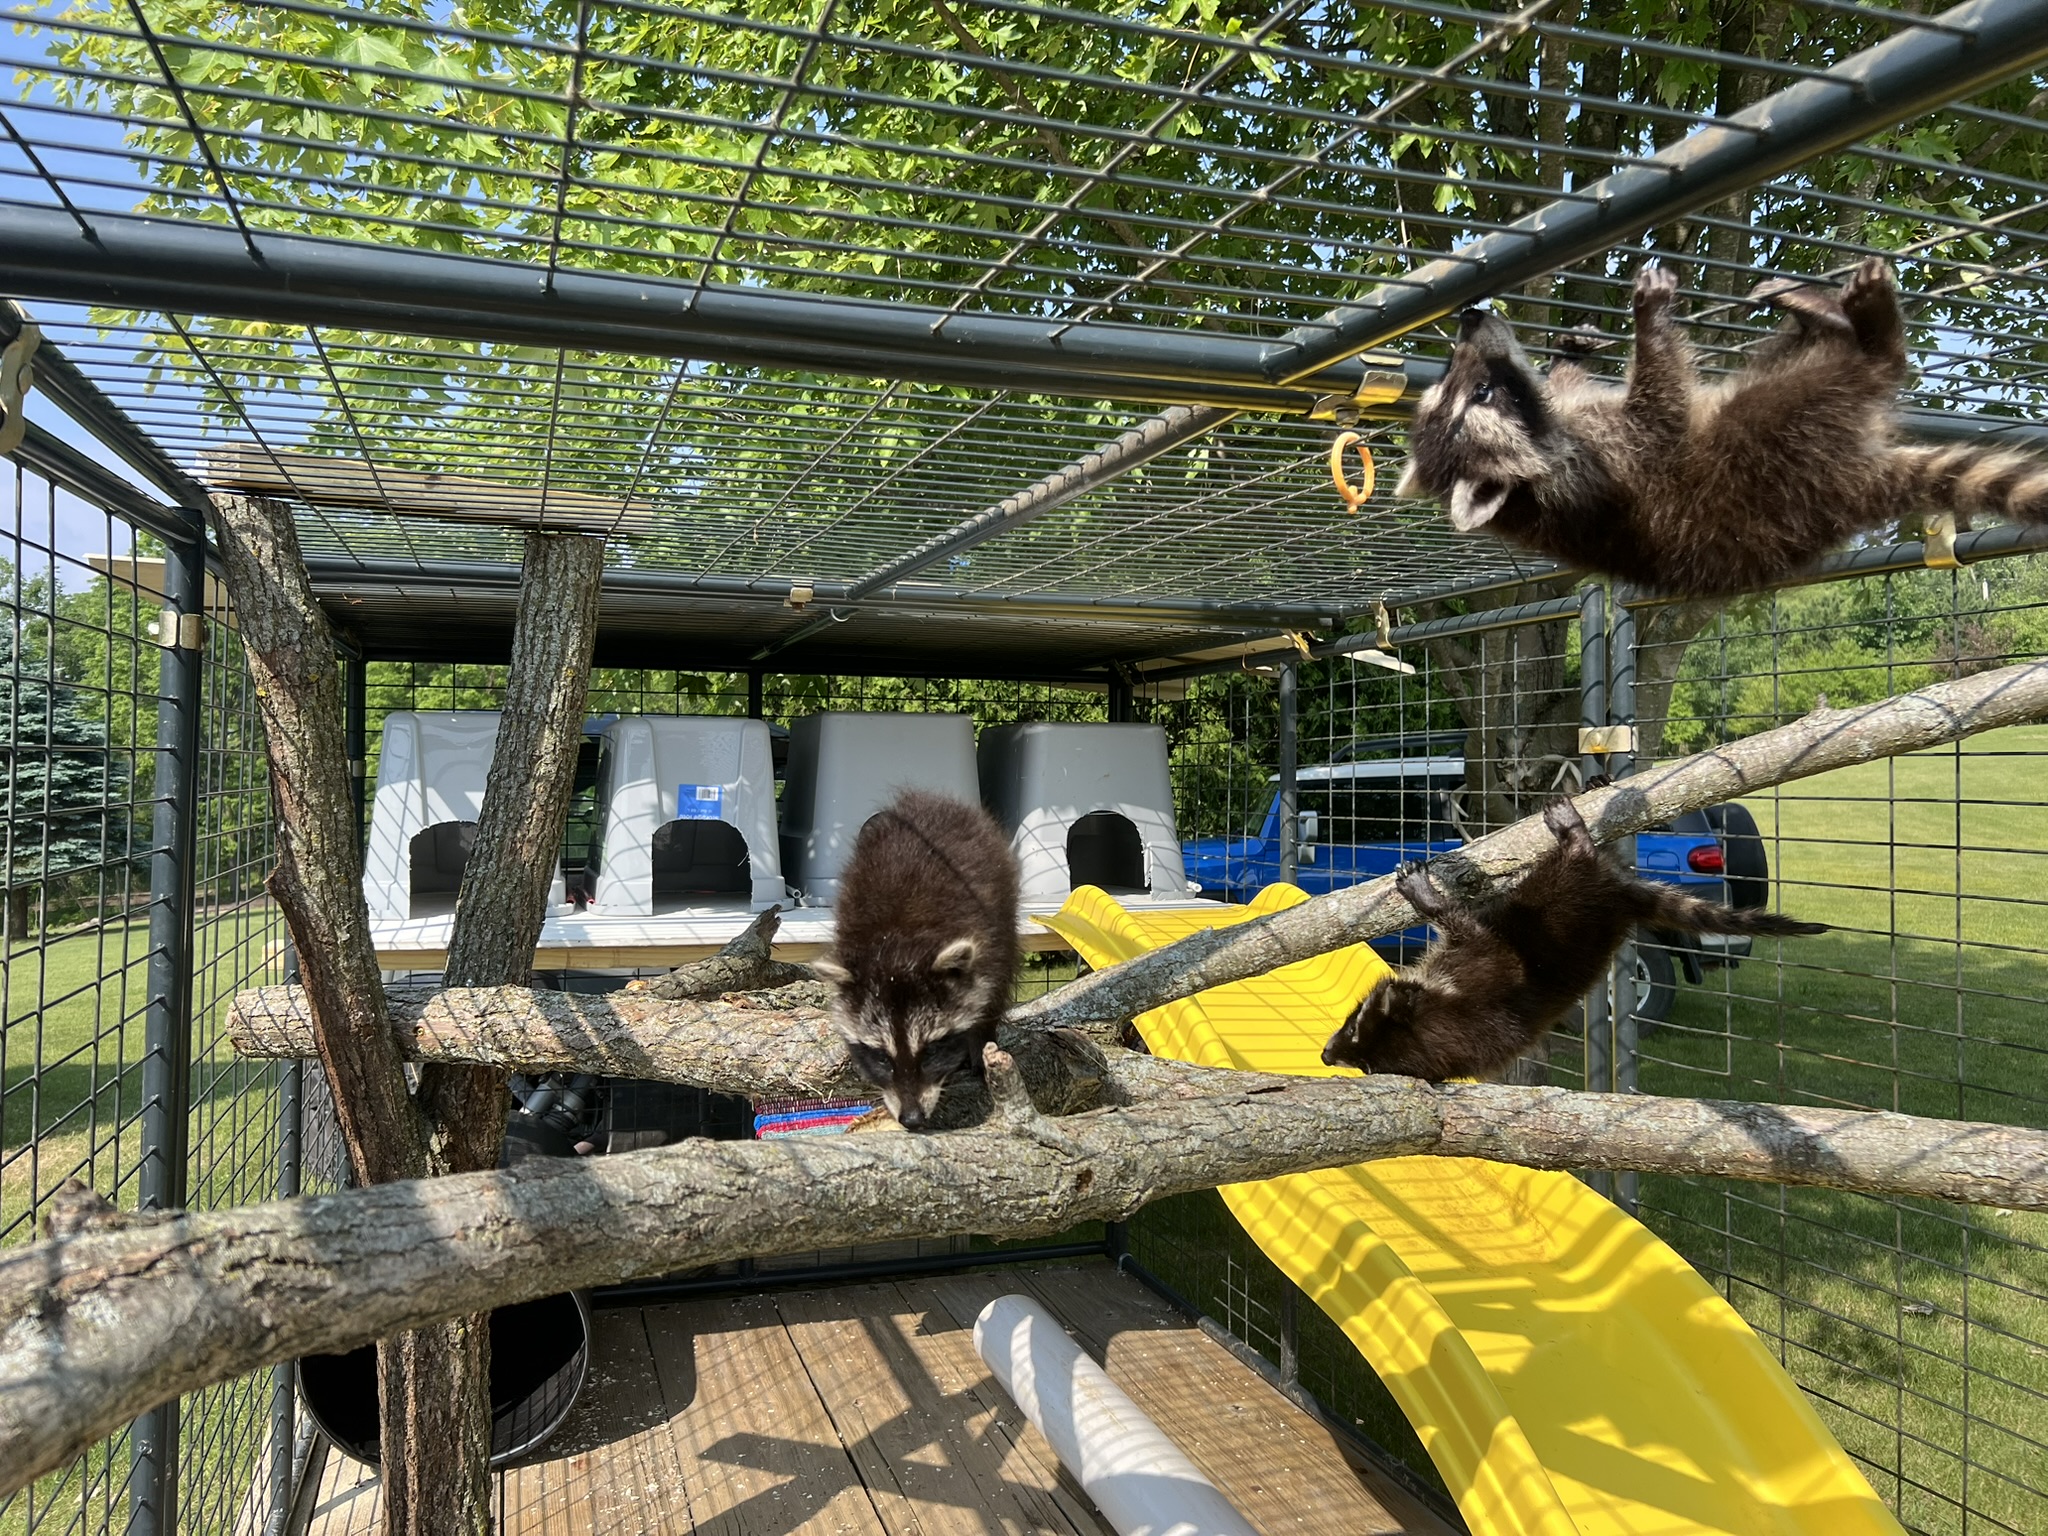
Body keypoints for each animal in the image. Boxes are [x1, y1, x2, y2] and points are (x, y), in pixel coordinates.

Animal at [810, 790, 1021, 1129]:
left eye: (932, 1050)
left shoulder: (989, 939)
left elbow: (992, 990)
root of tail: (926, 800)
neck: (897, 945)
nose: (911, 1118)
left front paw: (981, 1039)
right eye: (882, 1057)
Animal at [1321, 795, 1827, 1082]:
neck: (1442, 1006)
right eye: (1355, 1056)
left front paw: (1429, 898)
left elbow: (1460, 921)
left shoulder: (1483, 957)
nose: (1326, 1055)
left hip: (1557, 890)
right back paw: (1579, 837)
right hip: (1569, 894)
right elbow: (1463, 924)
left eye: (1352, 1024)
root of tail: (1618, 897)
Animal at [1396, 259, 2048, 597]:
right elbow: (1661, 409)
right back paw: (1869, 334)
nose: (1470, 318)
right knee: (1841, 377)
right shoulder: (1605, 464)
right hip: (1776, 441)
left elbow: (1579, 388)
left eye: (1464, 382)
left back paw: (1817, 318)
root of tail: (1850, 483)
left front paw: (1570, 354)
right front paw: (1648, 324)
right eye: (1481, 393)